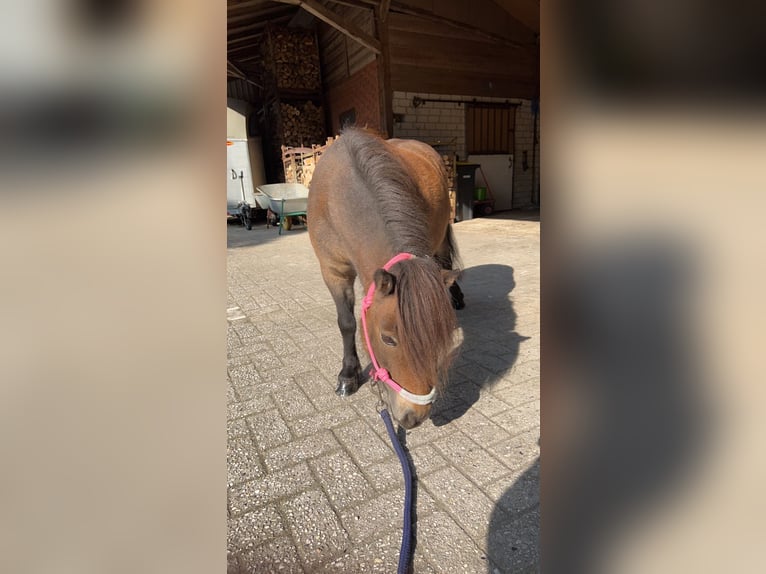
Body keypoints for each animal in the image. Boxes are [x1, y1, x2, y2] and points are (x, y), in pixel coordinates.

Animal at [308, 128, 464, 430]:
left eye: (440, 340)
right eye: (388, 339)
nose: (413, 417)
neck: (337, 196)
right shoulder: (333, 271)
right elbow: (346, 323)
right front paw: (348, 375)